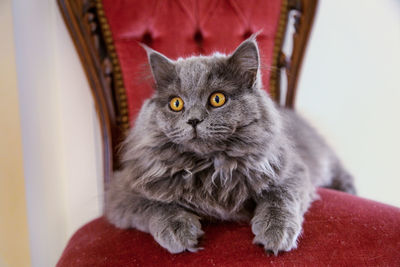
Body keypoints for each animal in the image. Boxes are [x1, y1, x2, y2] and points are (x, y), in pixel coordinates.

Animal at [104, 35, 354, 255]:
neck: (210, 168)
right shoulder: (123, 190)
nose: (193, 120)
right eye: (176, 104)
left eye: (217, 99)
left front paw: (276, 232)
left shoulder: (292, 170)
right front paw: (179, 231)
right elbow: (156, 205)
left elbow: (280, 197)